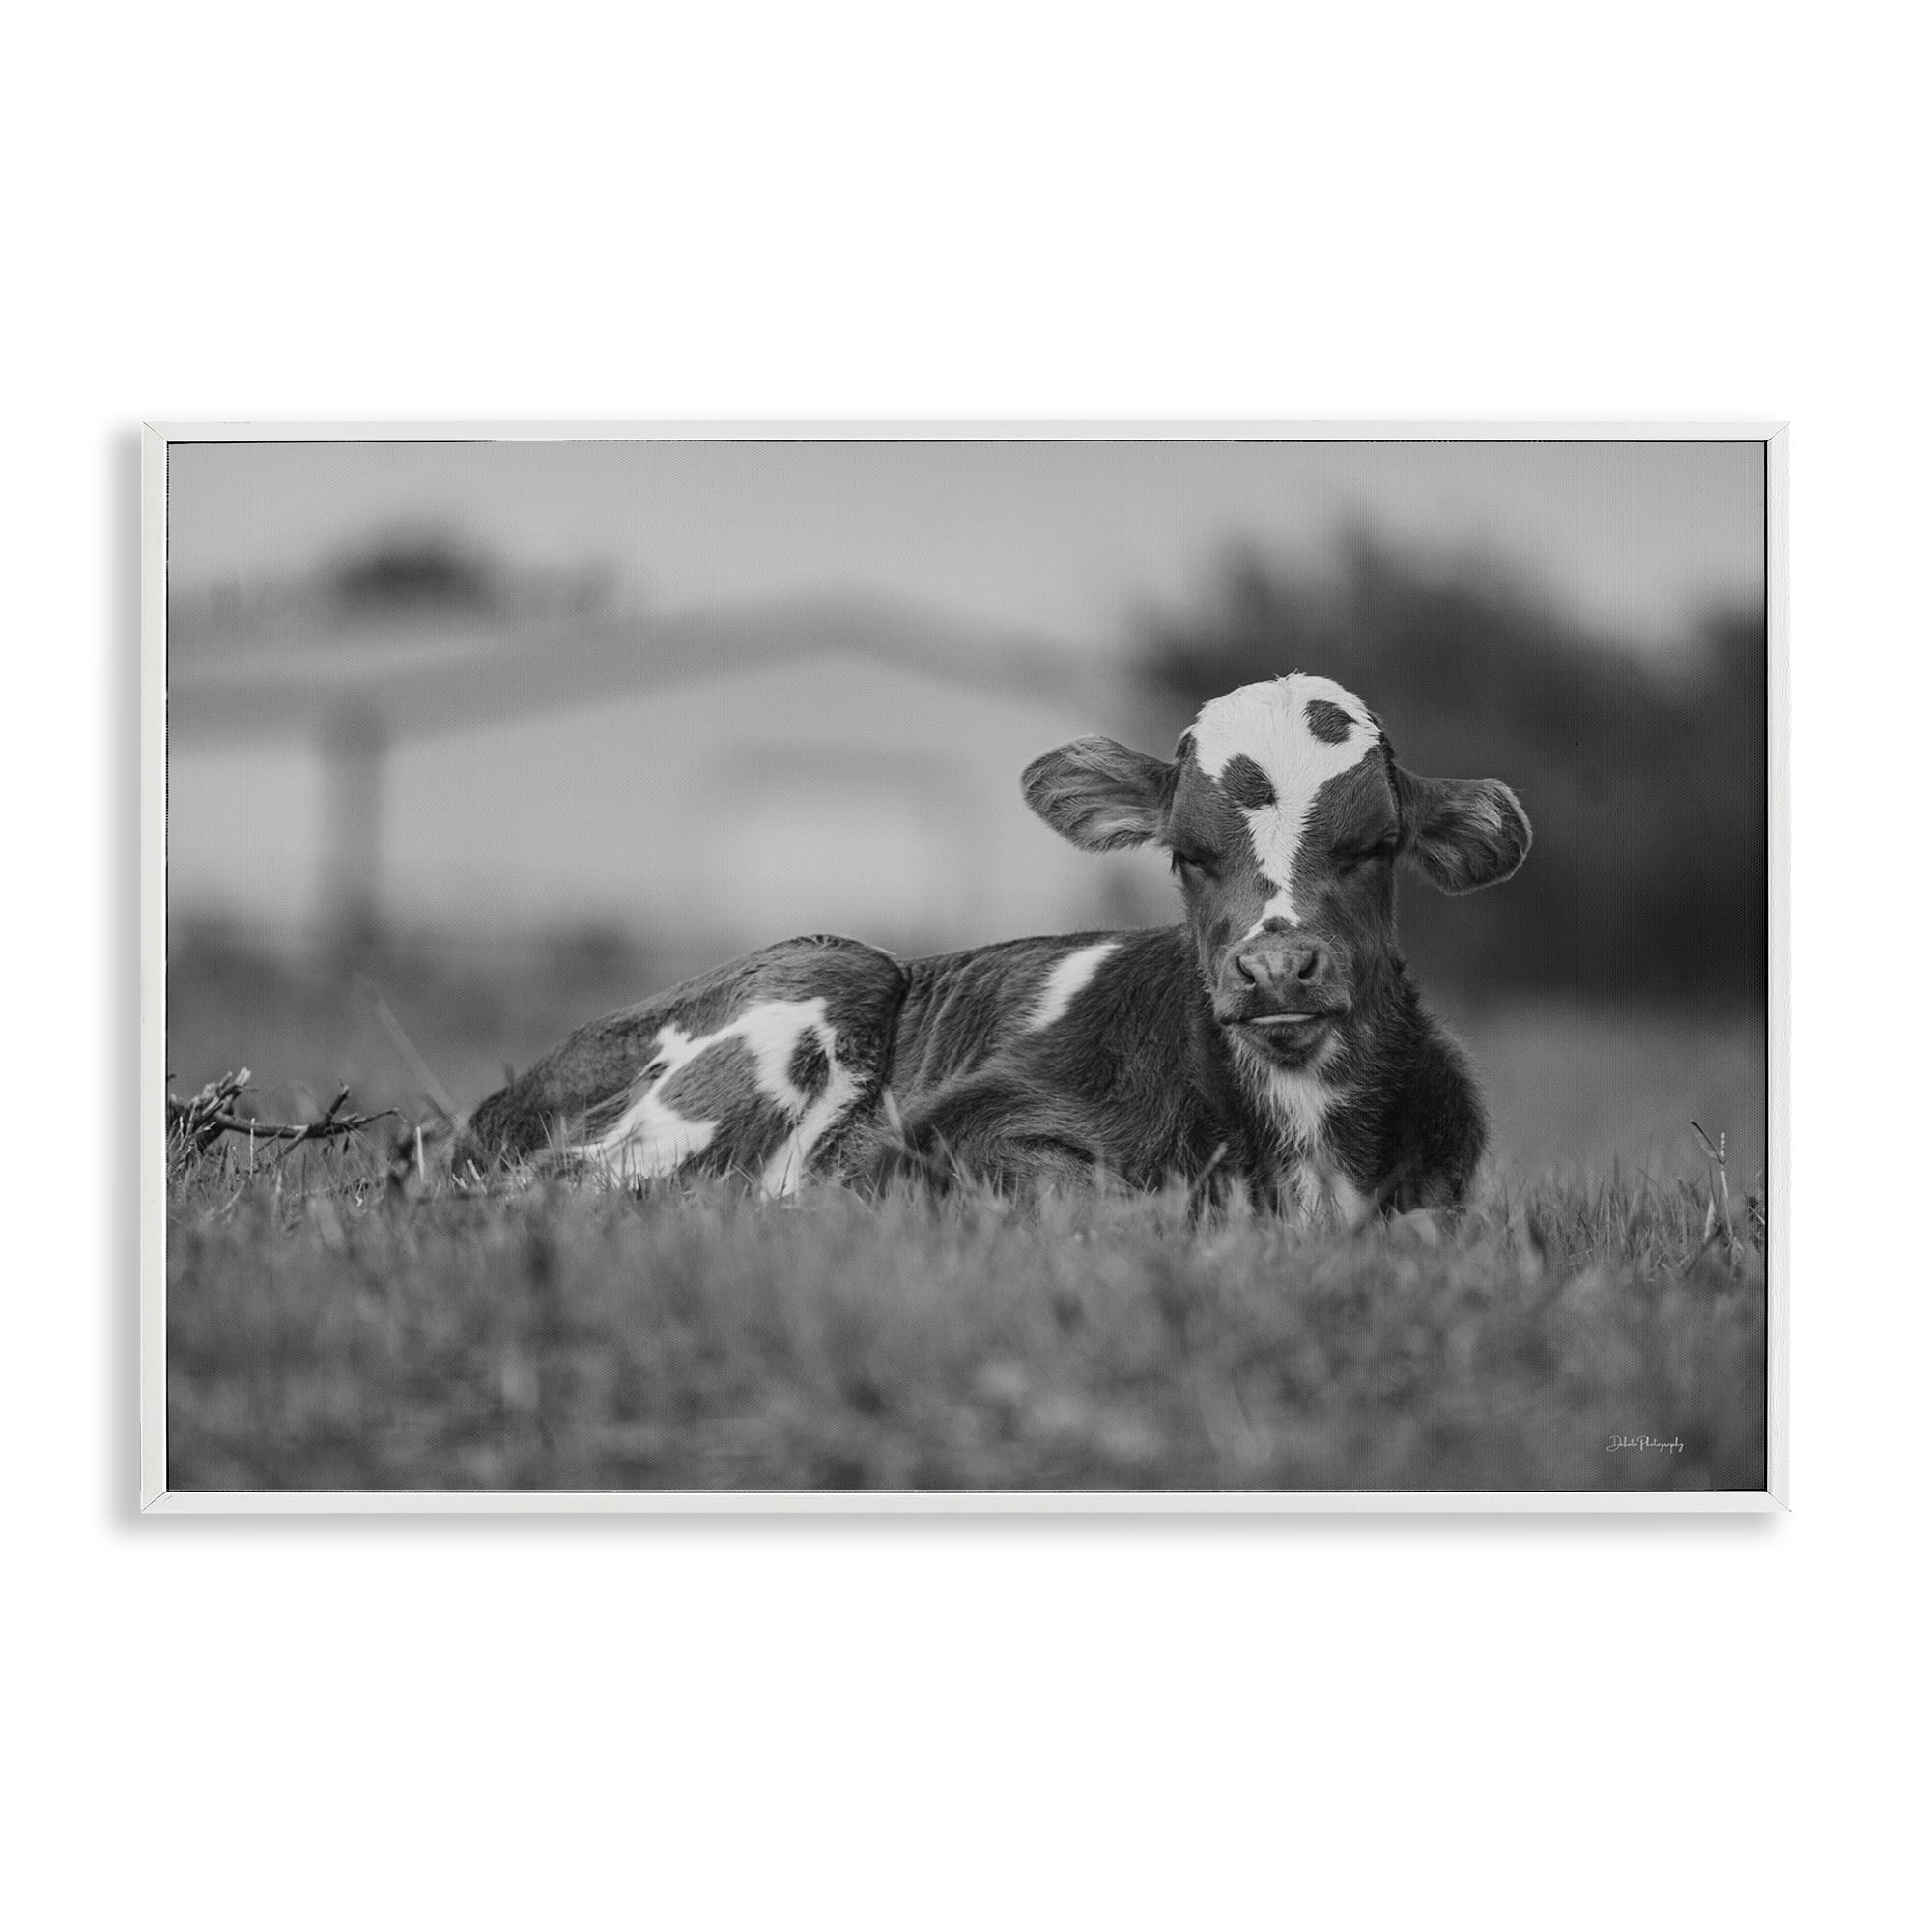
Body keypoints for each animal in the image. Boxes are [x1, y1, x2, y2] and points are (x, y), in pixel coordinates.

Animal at [452, 673, 1531, 1219]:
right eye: (1186, 852)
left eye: (1377, 845)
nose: (1276, 970)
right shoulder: (955, 1127)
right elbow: (1095, 1198)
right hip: (825, 975)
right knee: (554, 1184)